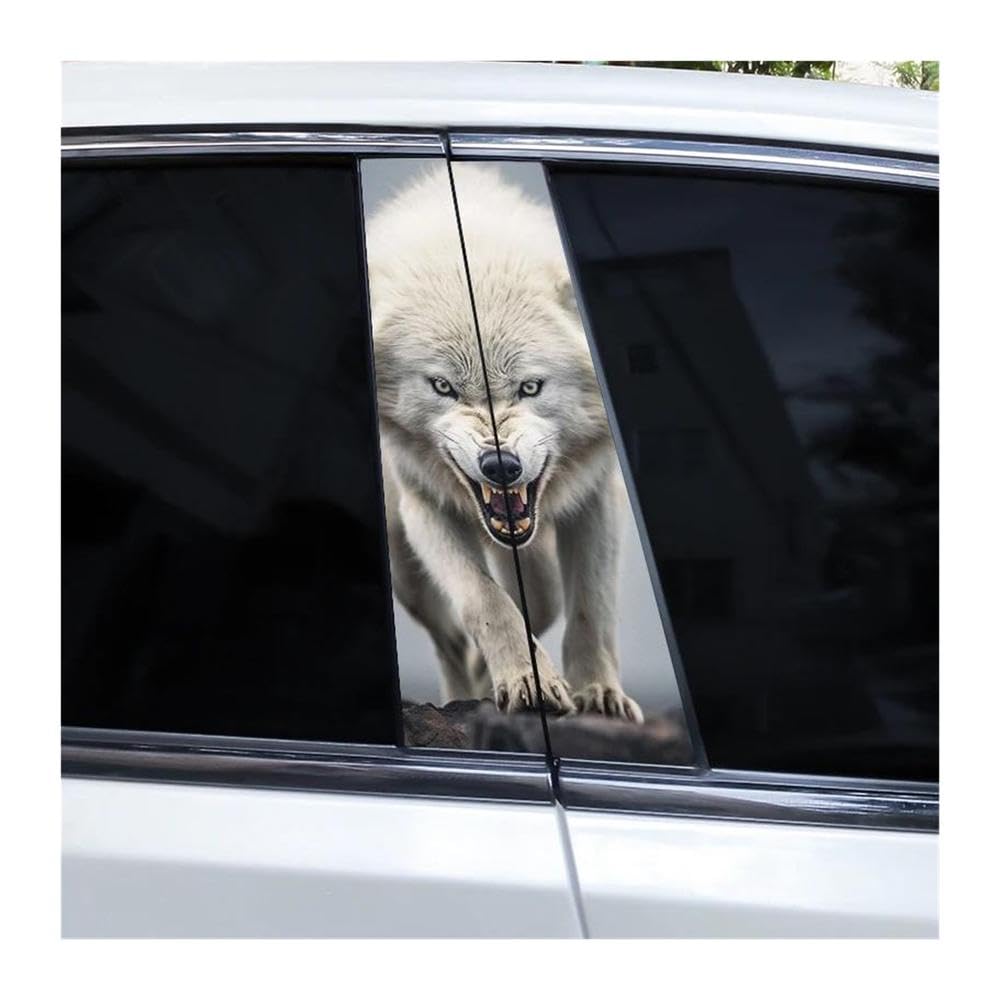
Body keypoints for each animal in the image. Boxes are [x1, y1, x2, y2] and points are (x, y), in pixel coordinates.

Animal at [366, 164, 642, 722]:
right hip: (406, 570)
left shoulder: (598, 495)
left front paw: (598, 694)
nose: (500, 466)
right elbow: (486, 602)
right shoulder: (425, 507)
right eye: (443, 386)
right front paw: (528, 682)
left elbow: (588, 605)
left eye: (530, 387)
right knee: (452, 642)